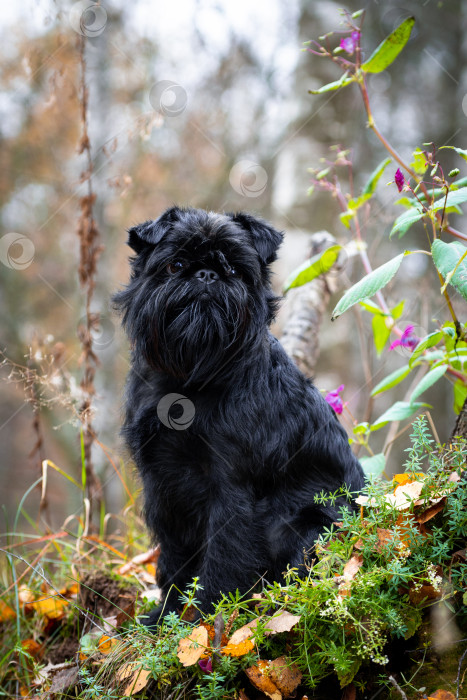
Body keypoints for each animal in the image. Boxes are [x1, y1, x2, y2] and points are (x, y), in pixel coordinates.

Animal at [114, 205, 366, 628]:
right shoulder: (162, 486)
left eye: (233, 269)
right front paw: (165, 618)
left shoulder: (231, 489)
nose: (206, 274)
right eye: (175, 265)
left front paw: (203, 618)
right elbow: (173, 559)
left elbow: (223, 556)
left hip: (305, 525)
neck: (188, 380)